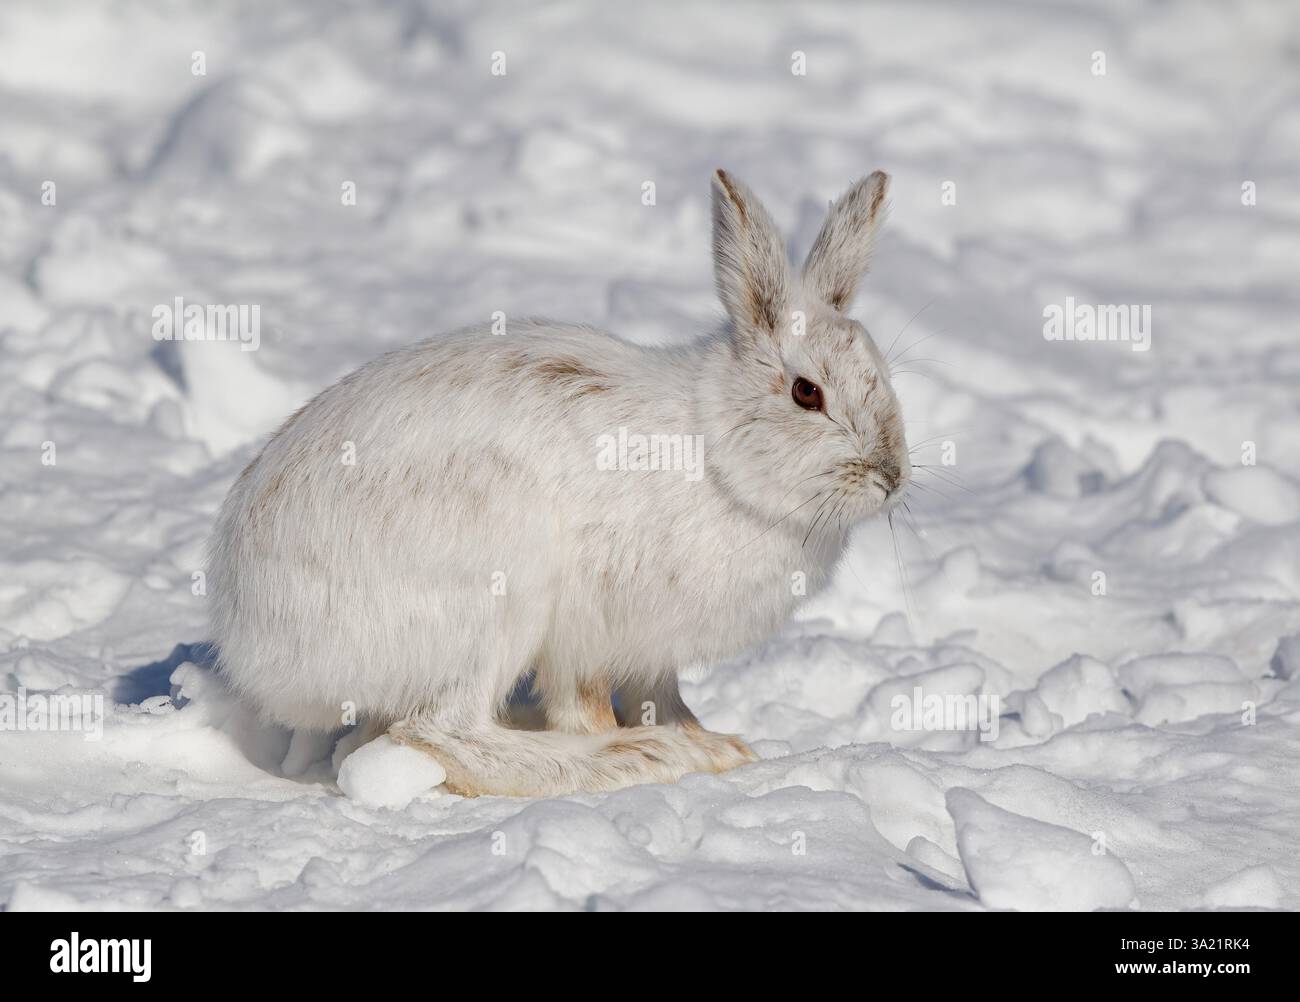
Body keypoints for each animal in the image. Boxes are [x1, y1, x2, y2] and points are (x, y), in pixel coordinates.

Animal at [207, 168, 909, 798]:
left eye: (881, 372)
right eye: (806, 393)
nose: (891, 475)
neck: (717, 454)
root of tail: (249, 640)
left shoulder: (651, 656)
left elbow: (663, 696)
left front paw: (714, 744)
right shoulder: (586, 629)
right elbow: (585, 705)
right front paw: (663, 749)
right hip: (495, 589)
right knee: (442, 729)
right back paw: (628, 760)